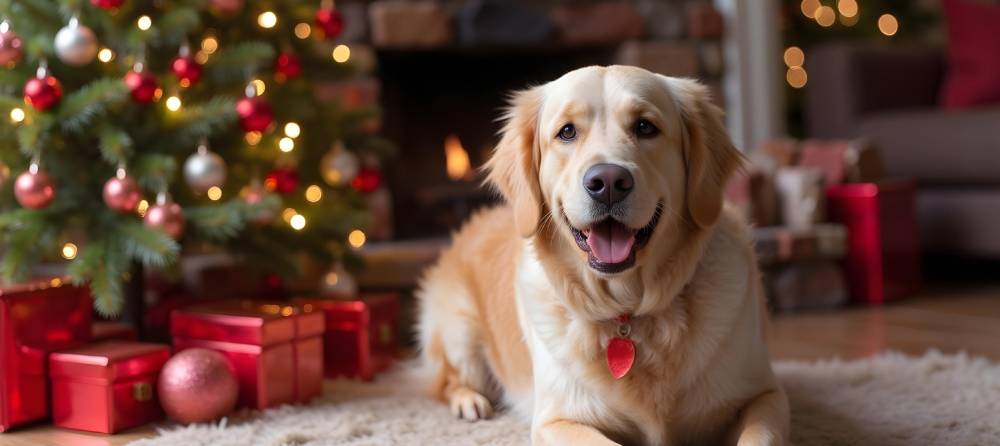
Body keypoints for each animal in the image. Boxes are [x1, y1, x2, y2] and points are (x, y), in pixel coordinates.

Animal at [416, 66, 788, 446]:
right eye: (567, 131)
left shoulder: (766, 395)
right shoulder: (554, 419)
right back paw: (470, 402)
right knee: (447, 381)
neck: (628, 312)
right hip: (459, 331)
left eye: (645, 127)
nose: (608, 182)